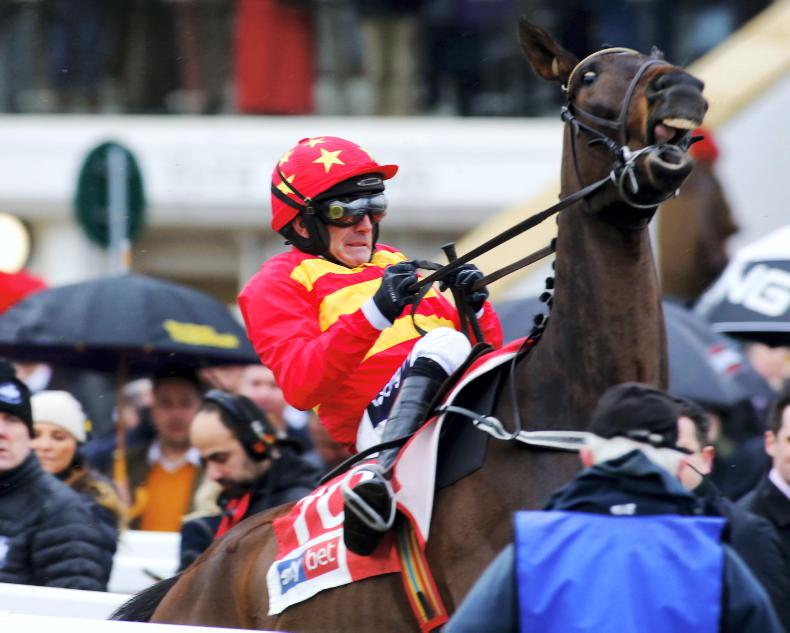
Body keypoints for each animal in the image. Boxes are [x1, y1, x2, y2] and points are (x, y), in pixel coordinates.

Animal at [119, 19, 707, 631]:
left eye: (656, 56)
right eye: (589, 77)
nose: (679, 88)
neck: (562, 423)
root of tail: (190, 578)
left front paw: (467, 284)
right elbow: (302, 368)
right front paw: (393, 290)